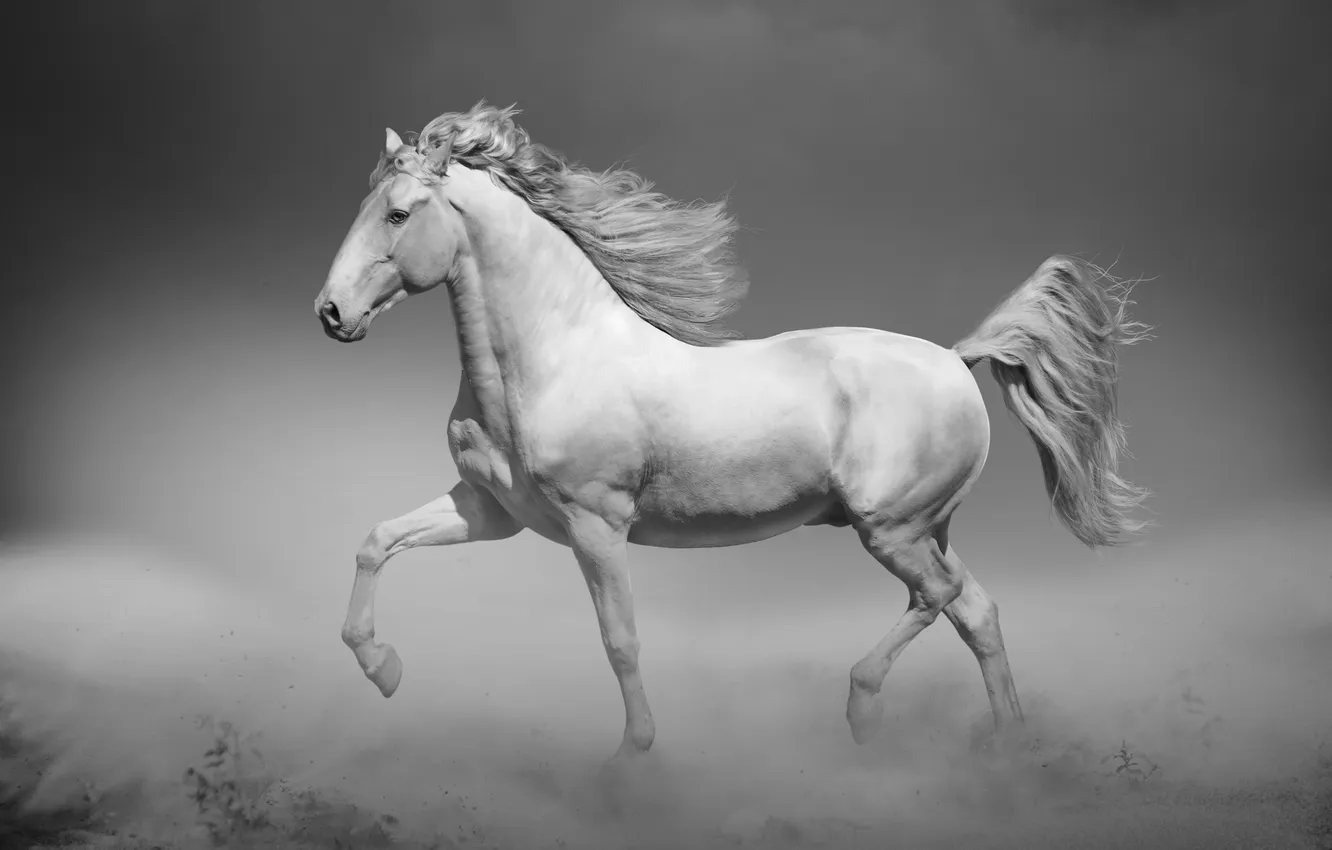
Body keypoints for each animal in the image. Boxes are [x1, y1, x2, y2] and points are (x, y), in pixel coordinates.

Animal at [313, 101, 1150, 764]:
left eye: (397, 213)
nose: (330, 313)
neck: (552, 360)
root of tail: (954, 356)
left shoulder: (595, 524)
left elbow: (619, 640)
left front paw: (632, 755)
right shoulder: (491, 512)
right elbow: (375, 541)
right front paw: (383, 668)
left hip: (891, 527)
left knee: (939, 597)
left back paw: (864, 707)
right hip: (926, 528)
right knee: (975, 612)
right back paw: (1007, 748)